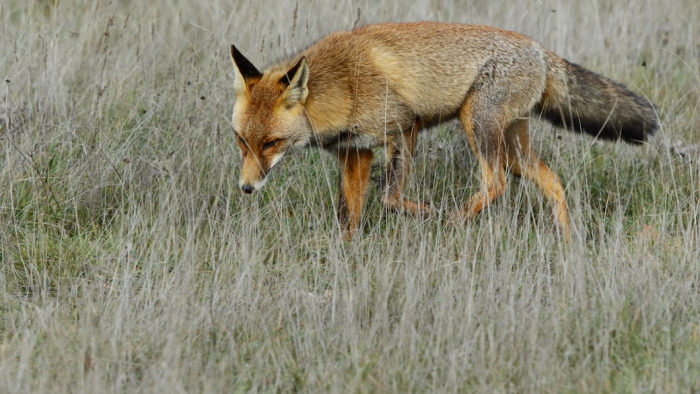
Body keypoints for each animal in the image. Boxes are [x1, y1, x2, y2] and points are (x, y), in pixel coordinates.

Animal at [230, 22, 656, 240]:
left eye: (271, 143)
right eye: (241, 141)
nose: (246, 189)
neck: (342, 84)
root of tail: (538, 48)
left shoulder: (404, 127)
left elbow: (389, 197)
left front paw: (427, 213)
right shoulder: (356, 151)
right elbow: (348, 214)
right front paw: (347, 253)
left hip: (478, 125)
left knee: (495, 182)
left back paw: (453, 219)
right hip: (513, 147)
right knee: (552, 182)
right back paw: (567, 242)